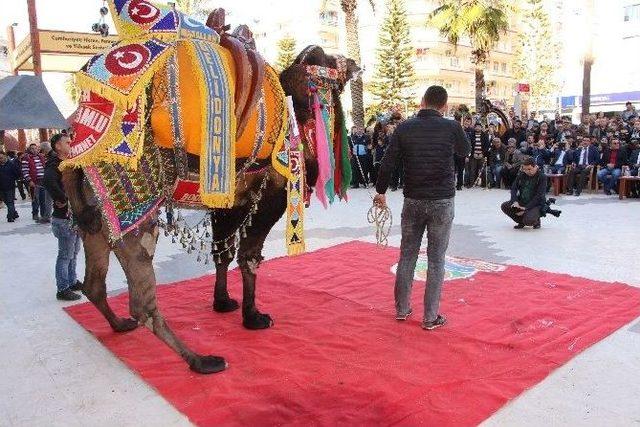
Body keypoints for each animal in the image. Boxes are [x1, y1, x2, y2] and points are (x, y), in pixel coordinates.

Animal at [63, 0, 360, 374]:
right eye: (330, 63)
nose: (355, 63)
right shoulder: (270, 197)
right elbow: (249, 257)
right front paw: (253, 317)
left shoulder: (230, 201)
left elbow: (223, 253)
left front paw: (223, 303)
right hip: (135, 219)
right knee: (142, 301)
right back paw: (201, 360)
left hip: (95, 223)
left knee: (94, 284)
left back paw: (120, 326)